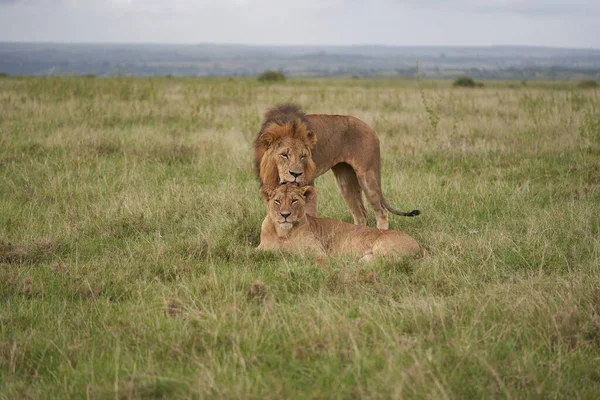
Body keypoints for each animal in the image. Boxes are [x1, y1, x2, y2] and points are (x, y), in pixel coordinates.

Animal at [255, 103, 420, 230]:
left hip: (367, 176)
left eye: (303, 156)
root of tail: (370, 128)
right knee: (361, 215)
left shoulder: (308, 187)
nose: (296, 174)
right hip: (345, 182)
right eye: (284, 155)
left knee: (382, 212)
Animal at [258, 184, 426, 262]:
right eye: (277, 201)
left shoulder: (319, 252)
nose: (285, 215)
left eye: (294, 201)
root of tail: (418, 243)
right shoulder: (260, 248)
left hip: (383, 246)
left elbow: (314, 258)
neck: (283, 233)